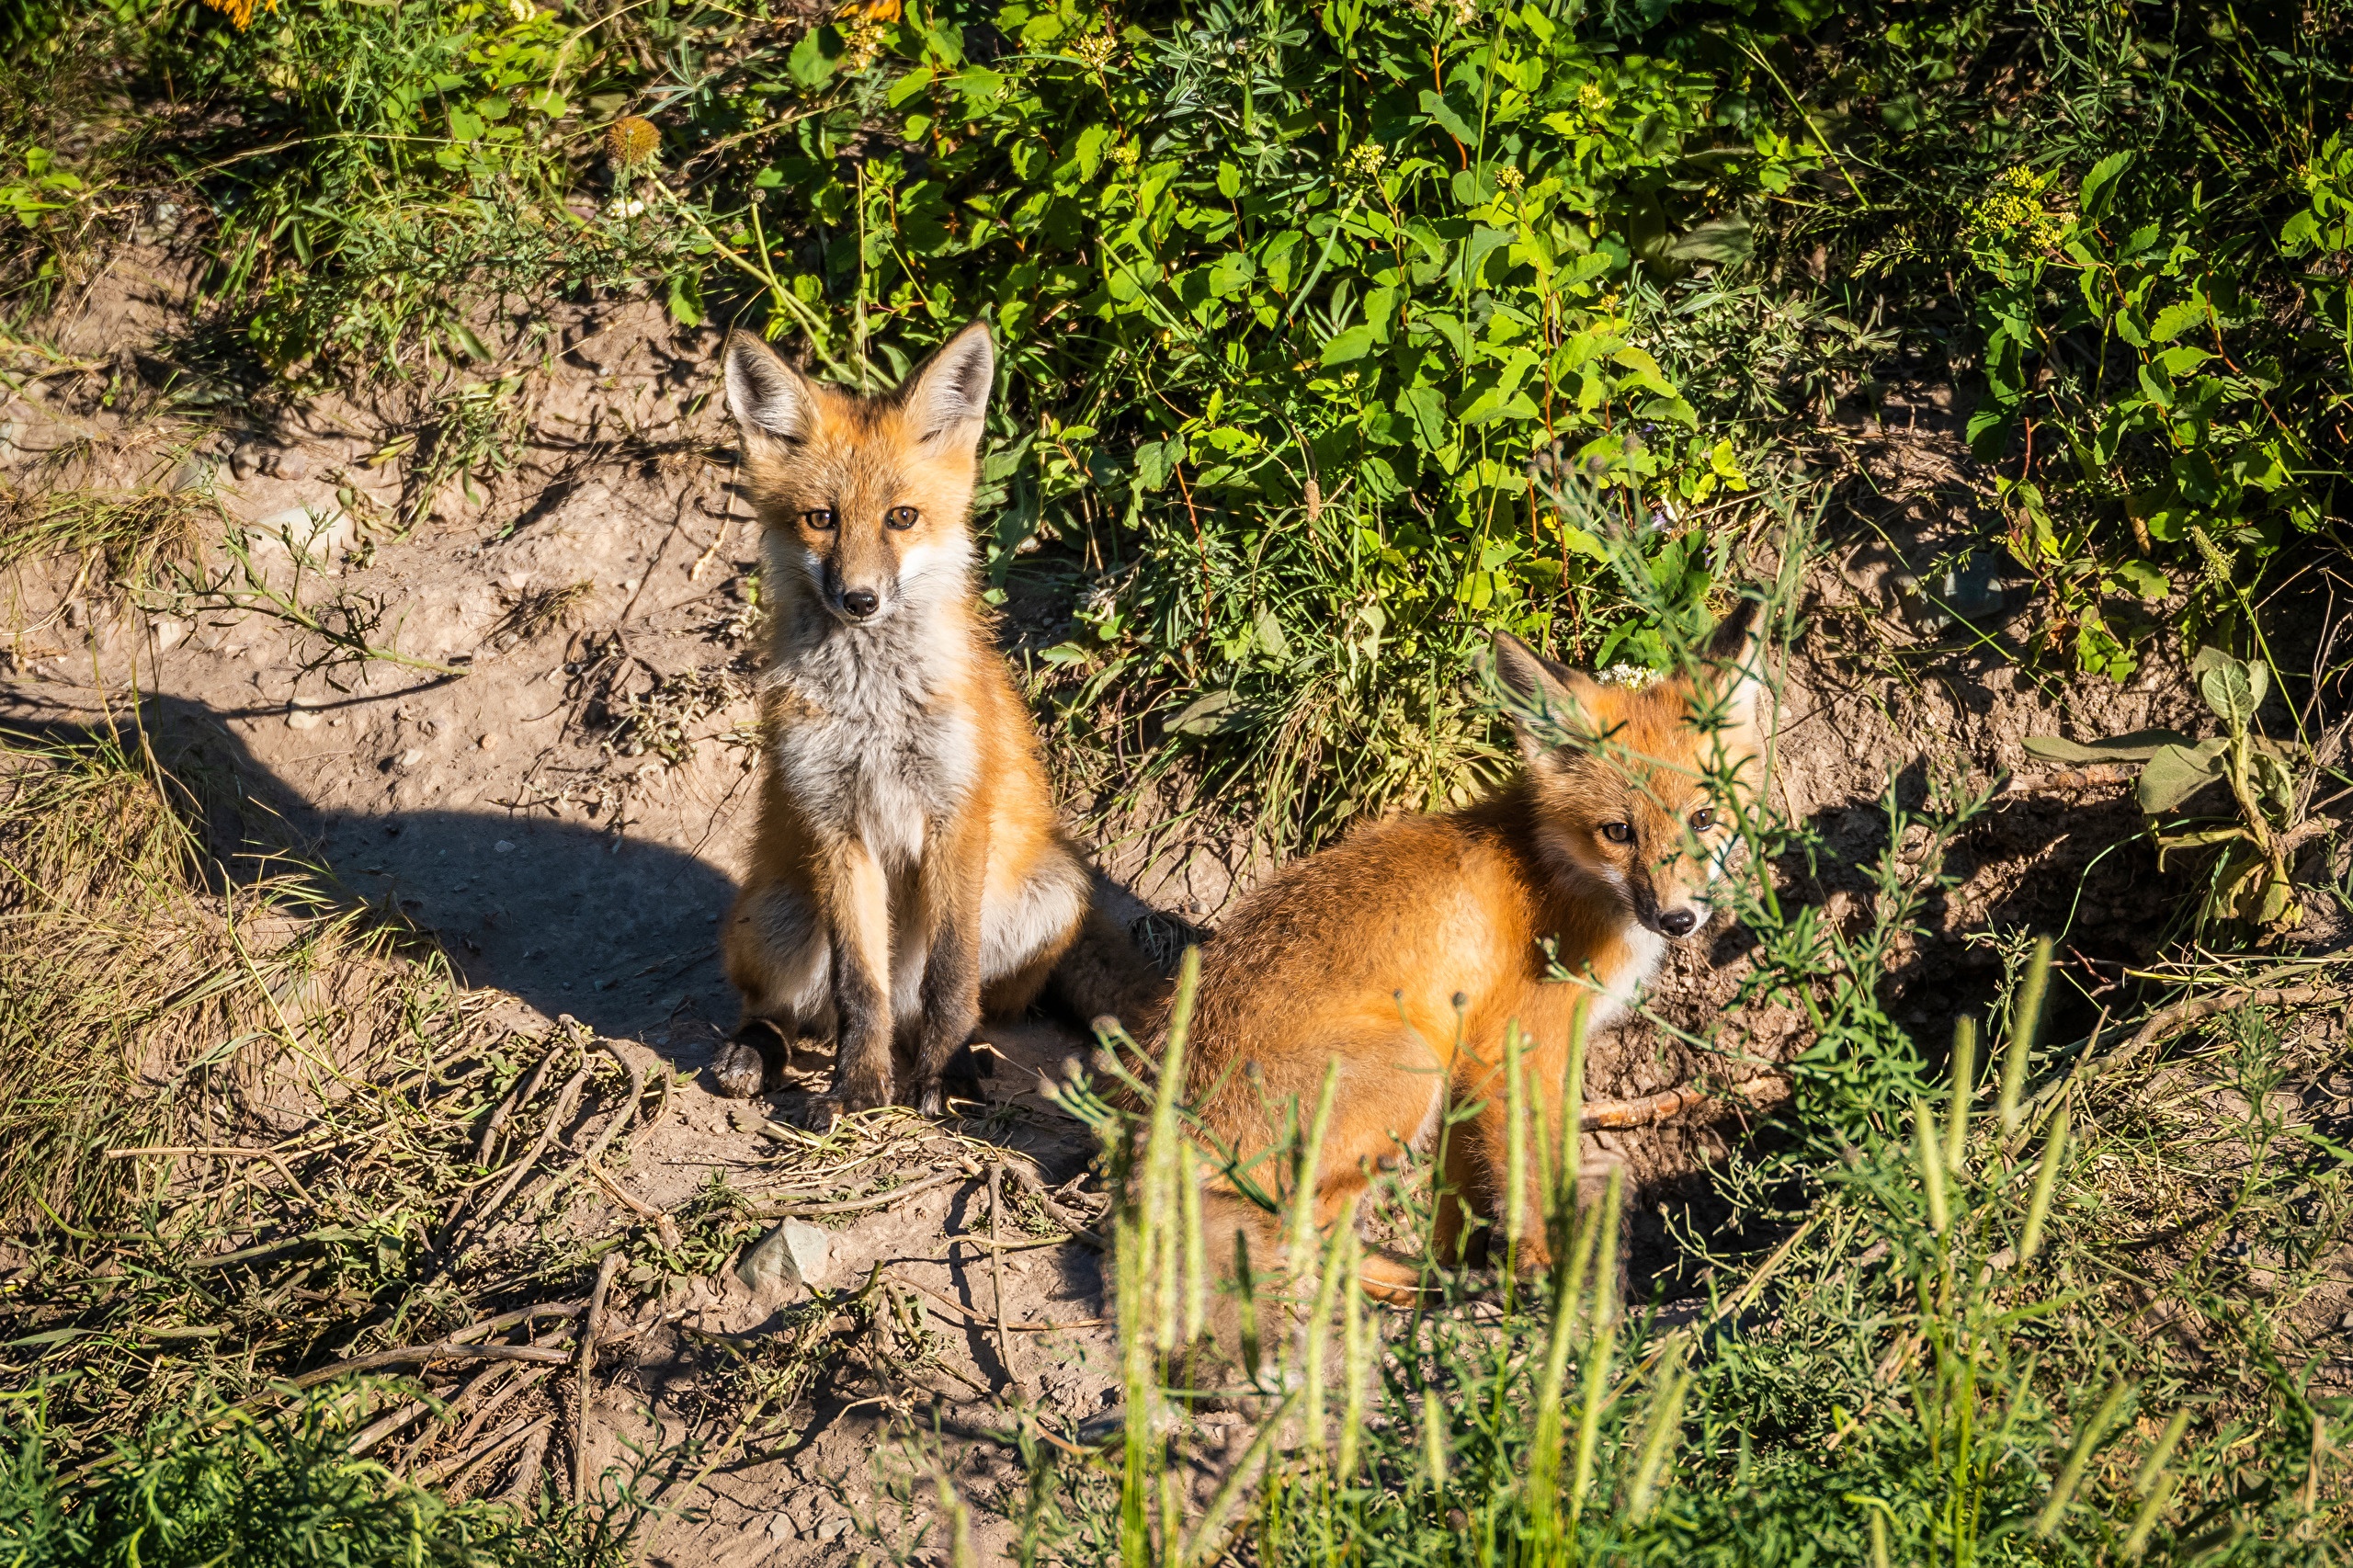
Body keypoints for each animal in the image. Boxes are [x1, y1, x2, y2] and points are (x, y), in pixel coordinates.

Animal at [711, 322, 1161, 1114]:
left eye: (902, 518)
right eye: (821, 520)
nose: (860, 601)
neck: (876, 711)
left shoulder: (957, 812)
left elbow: (951, 978)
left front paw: (942, 1077)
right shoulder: (835, 823)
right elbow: (859, 988)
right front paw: (859, 1086)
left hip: (1049, 894)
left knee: (953, 1002)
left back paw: (965, 1054)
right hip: (772, 920)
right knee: (797, 1010)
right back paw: (756, 1051)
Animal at [1159, 603, 1768, 1310]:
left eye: (1704, 818)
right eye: (1619, 832)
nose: (1677, 919)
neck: (1557, 871)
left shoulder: (1470, 1059)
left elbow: (1461, 1194)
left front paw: (1469, 1258)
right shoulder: (1513, 1046)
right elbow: (1532, 1174)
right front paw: (1545, 1270)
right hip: (1406, 1070)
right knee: (1298, 1241)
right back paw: (1412, 1290)